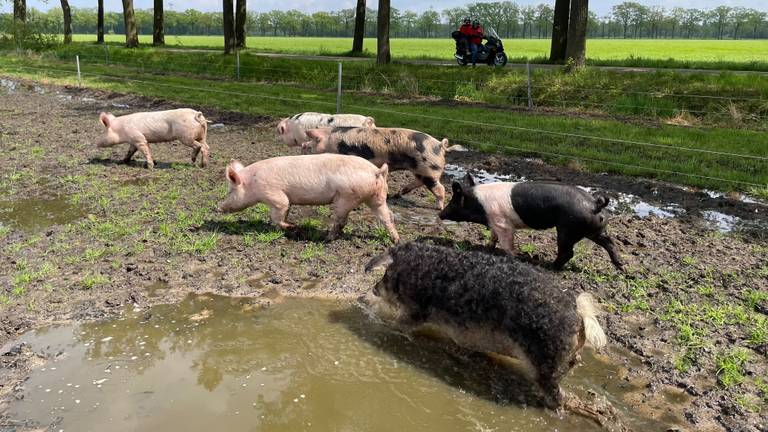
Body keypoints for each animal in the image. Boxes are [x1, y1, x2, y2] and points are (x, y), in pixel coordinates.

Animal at [214, 154, 396, 243]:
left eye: (230, 191)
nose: (218, 208)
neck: (252, 183)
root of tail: (377, 171)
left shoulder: (275, 195)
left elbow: (279, 213)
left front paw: (293, 227)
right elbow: (283, 213)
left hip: (346, 197)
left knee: (341, 220)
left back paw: (326, 239)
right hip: (377, 197)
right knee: (388, 217)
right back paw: (395, 240)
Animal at [304, 126, 462, 209]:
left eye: (311, 145)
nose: (303, 146)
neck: (331, 141)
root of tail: (440, 145)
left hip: (428, 169)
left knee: (439, 188)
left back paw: (439, 207)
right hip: (420, 169)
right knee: (419, 182)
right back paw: (398, 194)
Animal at [364, 241, 608, 410]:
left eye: (385, 274)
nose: (374, 288)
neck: (416, 269)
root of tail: (579, 312)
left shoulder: (416, 310)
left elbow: (399, 323)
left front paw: (374, 314)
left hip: (546, 359)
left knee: (557, 396)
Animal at [438, 175, 624, 270]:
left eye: (453, 202)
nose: (440, 214)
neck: (479, 204)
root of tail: (595, 204)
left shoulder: (504, 224)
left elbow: (506, 244)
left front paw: (514, 257)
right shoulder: (495, 222)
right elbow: (493, 237)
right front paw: (487, 247)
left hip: (567, 229)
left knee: (567, 252)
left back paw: (548, 266)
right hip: (594, 230)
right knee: (610, 242)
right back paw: (621, 267)